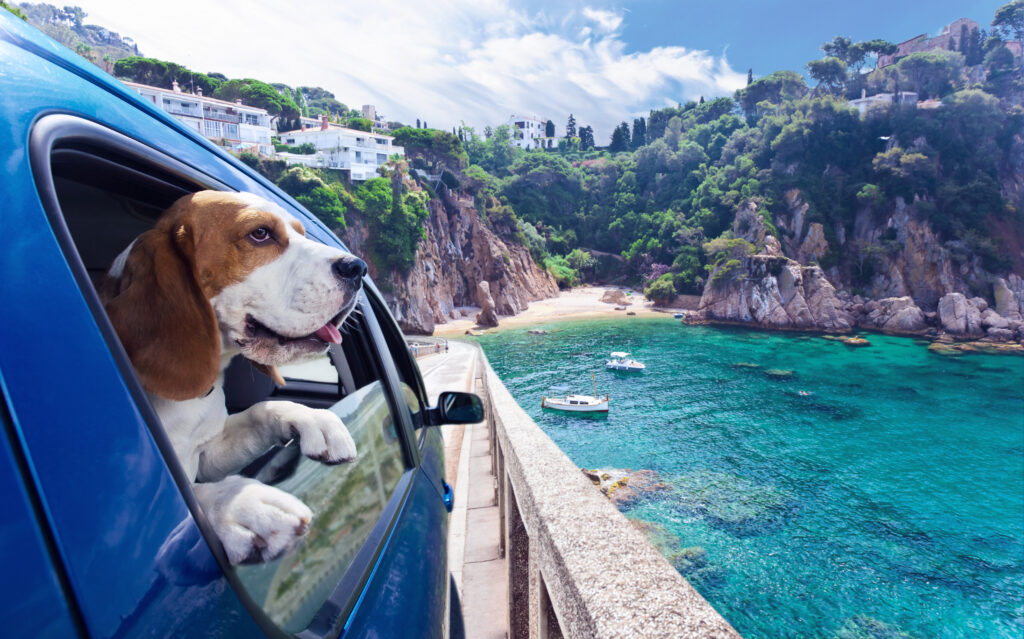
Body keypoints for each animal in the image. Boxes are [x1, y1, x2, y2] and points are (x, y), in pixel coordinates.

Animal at [102, 189, 364, 565]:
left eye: (300, 232)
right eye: (260, 234)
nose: (357, 268)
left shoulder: (208, 454)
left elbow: (261, 411)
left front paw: (314, 419)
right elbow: (194, 497)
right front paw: (240, 504)